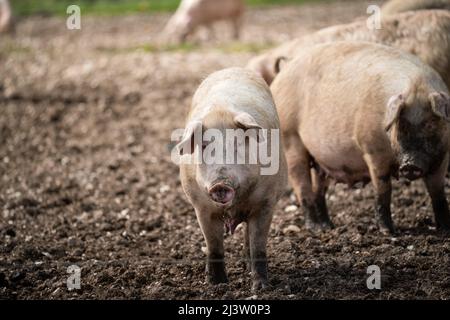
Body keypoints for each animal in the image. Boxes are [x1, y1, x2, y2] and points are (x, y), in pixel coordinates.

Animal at [174, 68, 286, 292]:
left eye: (237, 144)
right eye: (205, 145)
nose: (220, 182)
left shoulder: (266, 202)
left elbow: (258, 246)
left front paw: (261, 289)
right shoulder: (201, 207)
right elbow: (214, 246)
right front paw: (216, 284)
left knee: (248, 238)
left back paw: (247, 267)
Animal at [270, 41, 450, 234]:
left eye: (430, 124)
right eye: (400, 125)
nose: (410, 164)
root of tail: (282, 73)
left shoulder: (442, 156)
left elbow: (438, 193)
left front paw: (444, 230)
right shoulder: (372, 148)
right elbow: (383, 190)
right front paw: (388, 232)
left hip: (319, 159)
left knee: (318, 189)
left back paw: (328, 226)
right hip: (289, 139)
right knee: (302, 187)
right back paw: (316, 229)